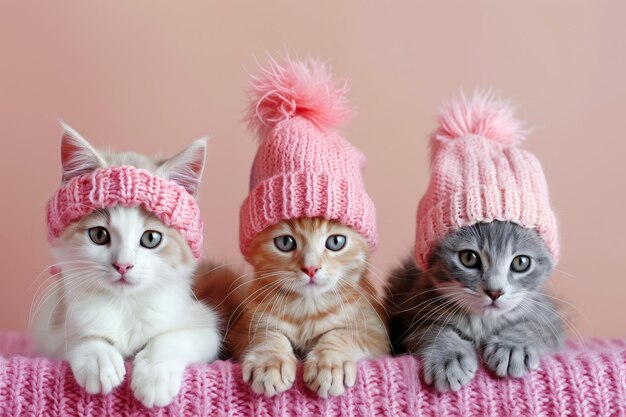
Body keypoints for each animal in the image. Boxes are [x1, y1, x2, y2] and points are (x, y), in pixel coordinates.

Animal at [33, 125, 222, 408]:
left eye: (151, 238)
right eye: (99, 235)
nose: (123, 265)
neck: (125, 305)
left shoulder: (203, 323)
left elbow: (178, 337)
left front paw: (155, 374)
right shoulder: (51, 327)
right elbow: (76, 336)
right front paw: (99, 358)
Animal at [207, 218, 388, 396]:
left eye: (336, 242)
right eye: (285, 242)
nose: (311, 268)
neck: (307, 306)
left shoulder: (375, 330)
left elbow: (344, 334)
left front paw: (330, 364)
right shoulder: (241, 329)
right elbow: (265, 334)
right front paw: (269, 363)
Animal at [388, 221, 564, 390]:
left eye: (521, 262)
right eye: (468, 258)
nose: (494, 292)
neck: (482, 320)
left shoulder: (548, 316)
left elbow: (534, 327)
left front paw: (513, 346)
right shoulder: (413, 311)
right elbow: (431, 330)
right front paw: (449, 357)